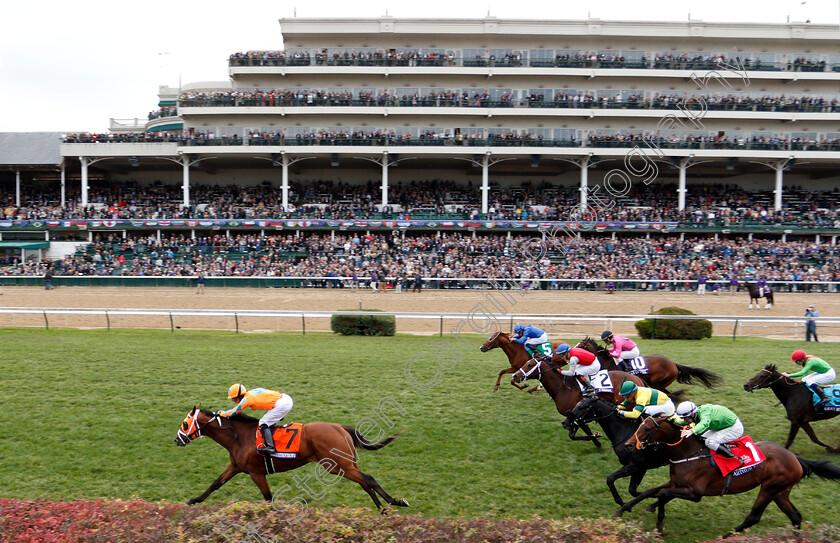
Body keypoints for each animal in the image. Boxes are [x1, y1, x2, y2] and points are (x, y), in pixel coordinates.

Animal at [172, 408, 408, 516]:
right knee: (365, 483)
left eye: (184, 424)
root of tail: (340, 427)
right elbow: (215, 484)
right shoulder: (236, 467)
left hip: (337, 465)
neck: (240, 437)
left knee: (369, 479)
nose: (177, 439)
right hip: (347, 464)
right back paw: (383, 510)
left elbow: (268, 498)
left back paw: (396, 502)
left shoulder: (256, 473)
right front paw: (193, 500)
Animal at [512, 356, 644, 450]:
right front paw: (597, 440)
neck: (563, 388)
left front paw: (597, 437)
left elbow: (575, 434)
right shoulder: (577, 416)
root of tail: (637, 379)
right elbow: (578, 434)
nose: (515, 376)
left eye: (530, 364)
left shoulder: (578, 415)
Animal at [612, 416, 840, 536]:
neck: (688, 453)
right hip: (781, 492)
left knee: (753, 517)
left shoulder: (695, 493)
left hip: (770, 488)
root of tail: (795, 457)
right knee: (795, 516)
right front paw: (623, 510)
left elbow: (663, 494)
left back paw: (727, 535)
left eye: (648, 428)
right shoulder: (676, 482)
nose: (629, 445)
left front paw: (658, 521)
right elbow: (651, 492)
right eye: (639, 426)